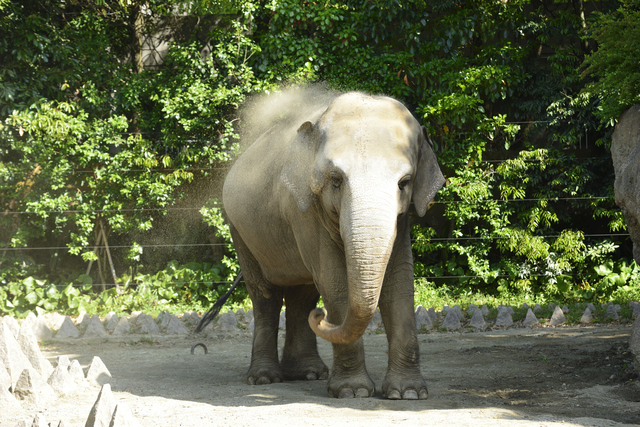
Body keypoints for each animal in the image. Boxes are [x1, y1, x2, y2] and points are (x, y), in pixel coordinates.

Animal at [224, 91, 444, 402]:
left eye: (405, 182)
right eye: (336, 180)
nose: (321, 317)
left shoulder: (403, 219)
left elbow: (400, 281)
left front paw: (408, 394)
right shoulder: (303, 209)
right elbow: (334, 280)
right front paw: (353, 392)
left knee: (302, 294)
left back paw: (307, 373)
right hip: (239, 230)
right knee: (265, 295)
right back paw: (265, 378)